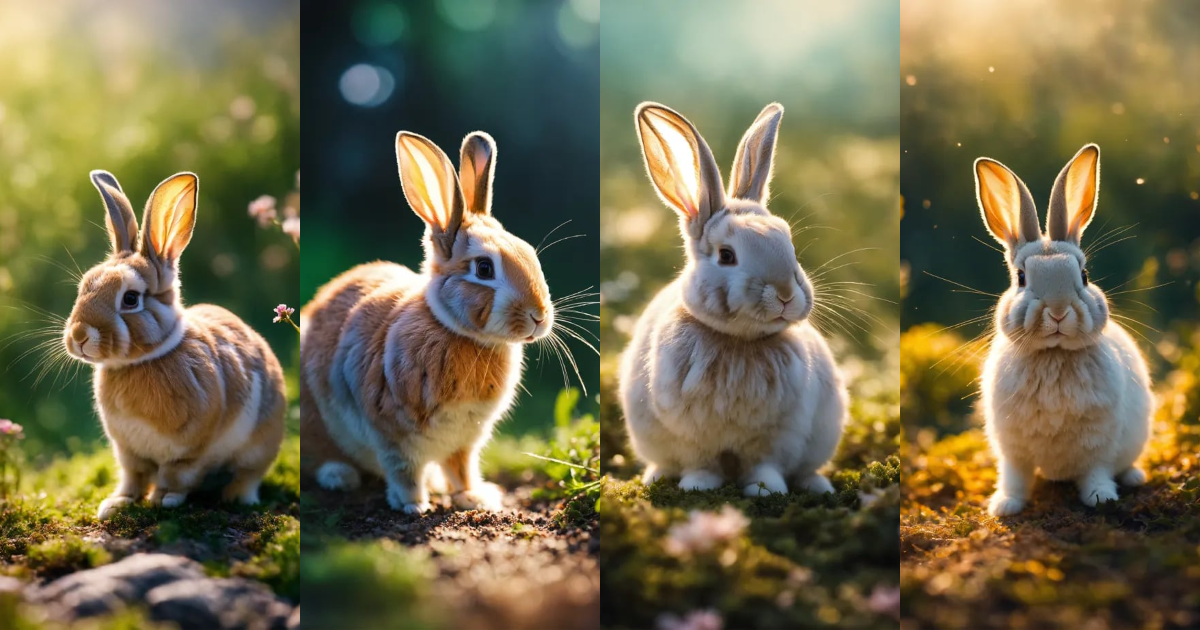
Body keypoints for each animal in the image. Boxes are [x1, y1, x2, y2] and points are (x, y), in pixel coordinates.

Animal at [64, 171, 287, 520]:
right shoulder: (128, 450)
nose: (79, 335)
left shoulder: (189, 450)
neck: (142, 361)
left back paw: (236, 497)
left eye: (130, 299)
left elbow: (175, 475)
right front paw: (116, 504)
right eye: (85, 285)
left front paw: (164, 499)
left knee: (247, 476)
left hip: (259, 447)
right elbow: (133, 477)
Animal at [299, 130, 553, 514]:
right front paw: (413, 505)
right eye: (484, 269)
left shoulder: (465, 439)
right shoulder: (390, 429)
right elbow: (403, 469)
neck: (456, 332)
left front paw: (474, 497)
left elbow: (462, 467)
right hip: (317, 421)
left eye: (529, 253)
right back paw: (339, 475)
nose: (539, 316)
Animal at [618, 102, 846, 497]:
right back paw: (657, 476)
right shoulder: (692, 434)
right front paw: (698, 487)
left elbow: (764, 464)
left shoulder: (777, 435)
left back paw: (817, 485)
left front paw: (766, 490)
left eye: (789, 243)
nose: (785, 295)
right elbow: (701, 462)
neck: (740, 341)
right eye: (727, 256)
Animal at [974, 144, 1153, 516]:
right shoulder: (1011, 449)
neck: (1053, 355)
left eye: (1084, 276)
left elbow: (1096, 470)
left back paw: (1134, 477)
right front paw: (1004, 506)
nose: (1058, 311)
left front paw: (1101, 497)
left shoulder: (1098, 443)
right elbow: (1015, 476)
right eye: (1021, 278)